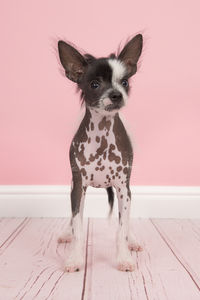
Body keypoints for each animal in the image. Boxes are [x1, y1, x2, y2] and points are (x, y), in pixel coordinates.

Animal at [57, 34, 143, 272]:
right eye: (94, 84)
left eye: (125, 82)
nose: (116, 95)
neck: (102, 136)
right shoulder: (78, 188)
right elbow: (78, 227)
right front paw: (75, 258)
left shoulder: (124, 189)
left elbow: (121, 229)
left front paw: (124, 258)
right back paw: (65, 232)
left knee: (128, 221)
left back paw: (133, 239)